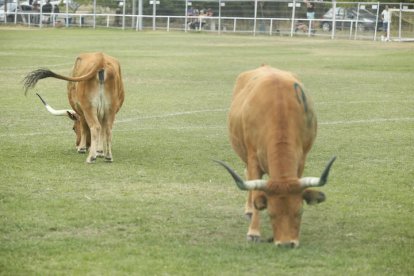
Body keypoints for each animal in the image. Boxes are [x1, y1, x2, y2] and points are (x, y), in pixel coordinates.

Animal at [215, 65, 334, 248]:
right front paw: (253, 232)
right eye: (271, 213)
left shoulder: (301, 160)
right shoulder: (253, 158)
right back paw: (249, 210)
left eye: (300, 211)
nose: (286, 244)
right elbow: (256, 193)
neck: (279, 107)